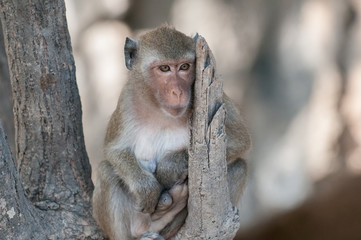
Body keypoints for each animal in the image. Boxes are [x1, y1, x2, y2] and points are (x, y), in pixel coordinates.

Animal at [92, 25, 250, 239]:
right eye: (164, 68)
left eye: (184, 67)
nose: (178, 92)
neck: (160, 110)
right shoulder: (126, 100)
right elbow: (114, 150)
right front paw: (147, 188)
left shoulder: (219, 100)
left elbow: (240, 141)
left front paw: (167, 170)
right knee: (106, 171)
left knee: (239, 166)